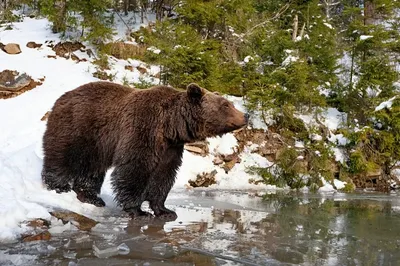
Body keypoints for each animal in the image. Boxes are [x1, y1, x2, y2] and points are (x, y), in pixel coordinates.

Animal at [39, 81, 247, 220]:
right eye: (226, 104)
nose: (246, 115)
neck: (170, 125)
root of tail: (61, 98)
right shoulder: (143, 129)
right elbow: (134, 169)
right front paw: (138, 211)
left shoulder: (170, 148)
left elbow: (163, 175)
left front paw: (165, 210)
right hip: (77, 129)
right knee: (62, 159)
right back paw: (58, 187)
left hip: (96, 145)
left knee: (91, 170)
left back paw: (91, 197)